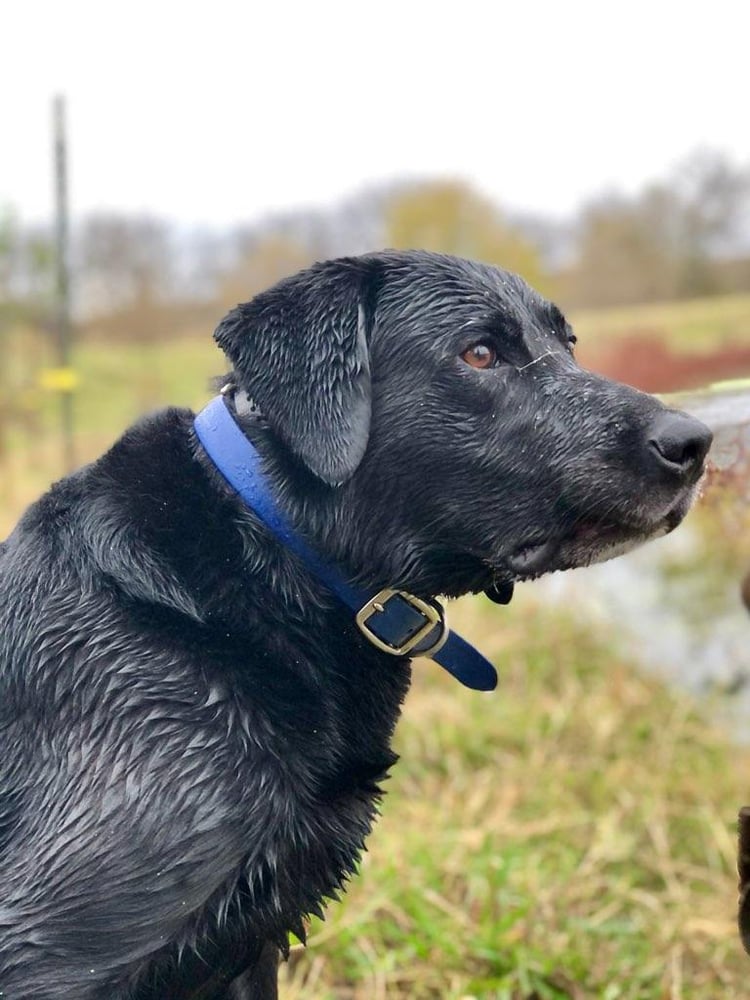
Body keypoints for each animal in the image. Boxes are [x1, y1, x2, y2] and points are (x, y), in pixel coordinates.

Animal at [0, 250, 712, 992]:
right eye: (480, 353)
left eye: (568, 345)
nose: (695, 442)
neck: (275, 547)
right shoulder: (52, 951)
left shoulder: (249, 948)